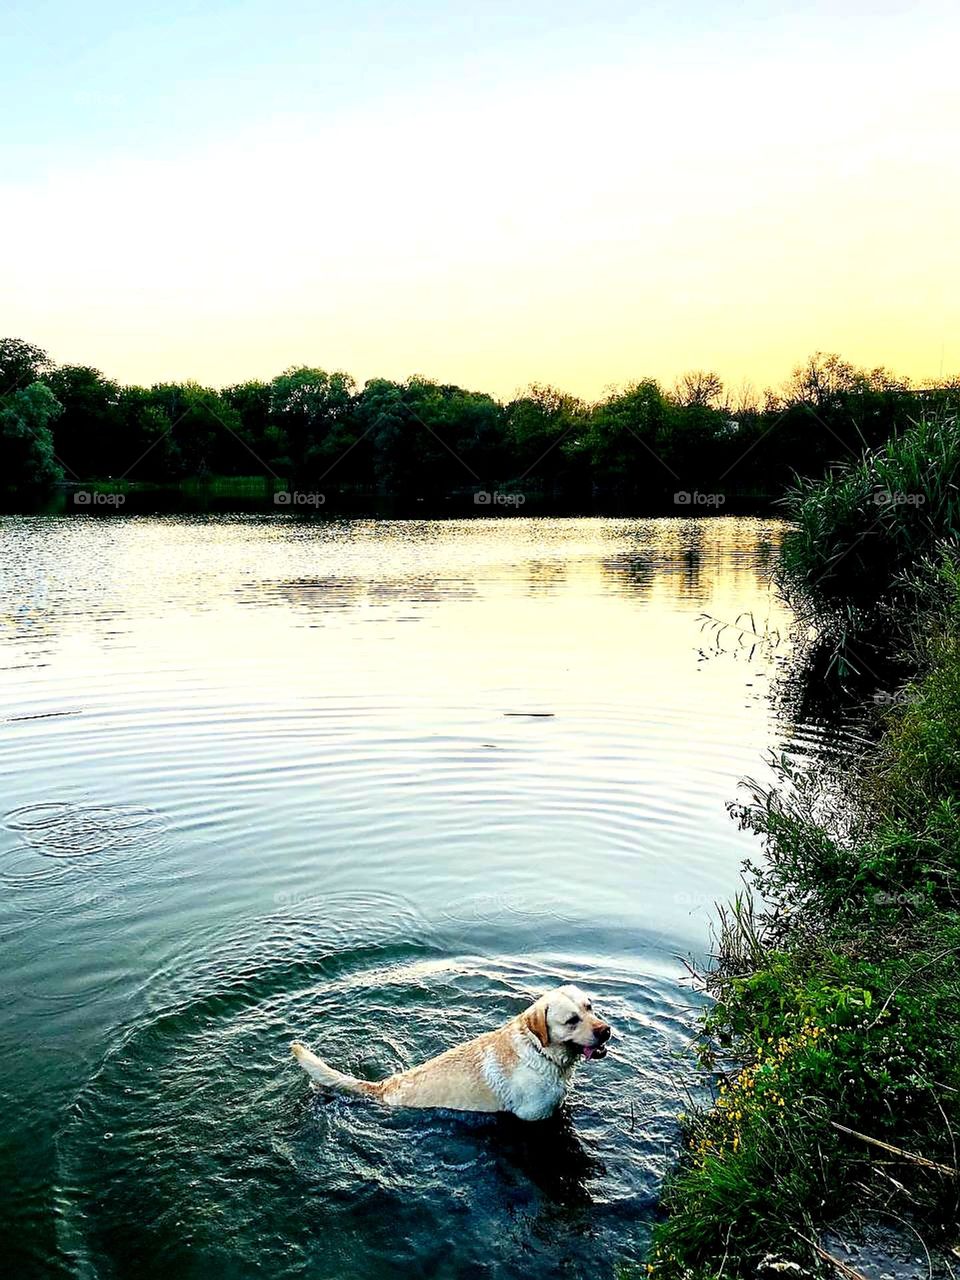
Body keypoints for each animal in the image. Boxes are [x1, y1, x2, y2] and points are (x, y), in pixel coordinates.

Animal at [289, 977, 611, 1121]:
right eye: (571, 1021)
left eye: (589, 1007)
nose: (606, 1030)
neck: (540, 1052)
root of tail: (384, 1086)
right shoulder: (532, 1117)